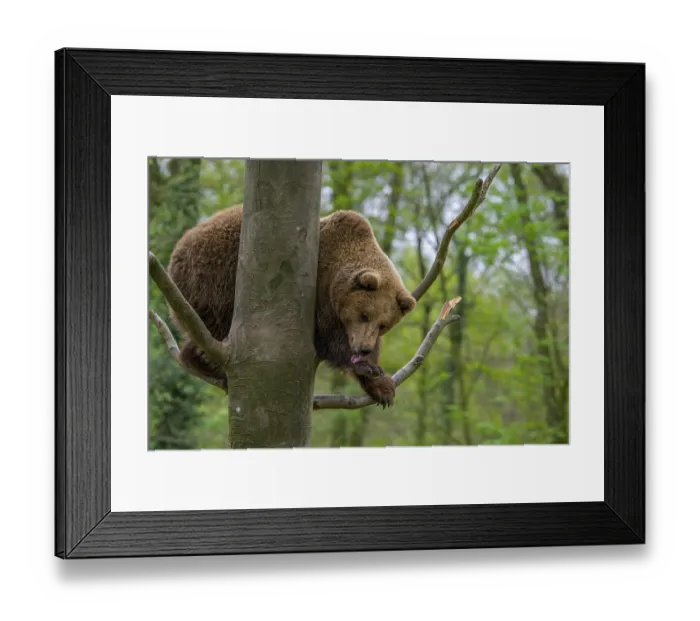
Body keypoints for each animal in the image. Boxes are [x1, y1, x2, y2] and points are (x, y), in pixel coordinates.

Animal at [165, 205, 417, 407]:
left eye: (383, 325)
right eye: (364, 315)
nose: (363, 349)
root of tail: (174, 254)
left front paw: (382, 384)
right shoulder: (320, 290)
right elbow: (329, 337)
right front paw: (364, 367)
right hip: (215, 280)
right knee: (219, 329)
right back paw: (207, 363)